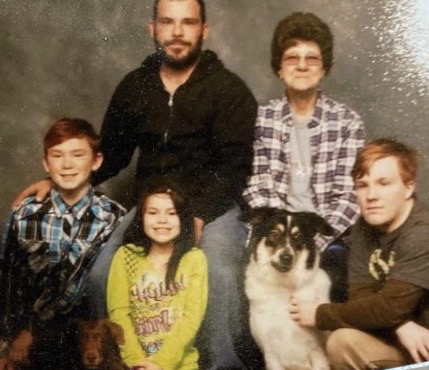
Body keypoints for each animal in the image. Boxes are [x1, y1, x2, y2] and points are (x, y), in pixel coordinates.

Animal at [242, 208, 332, 370]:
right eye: (274, 234)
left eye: (298, 237)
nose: (286, 257)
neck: (285, 286)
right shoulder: (270, 351)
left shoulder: (317, 351)